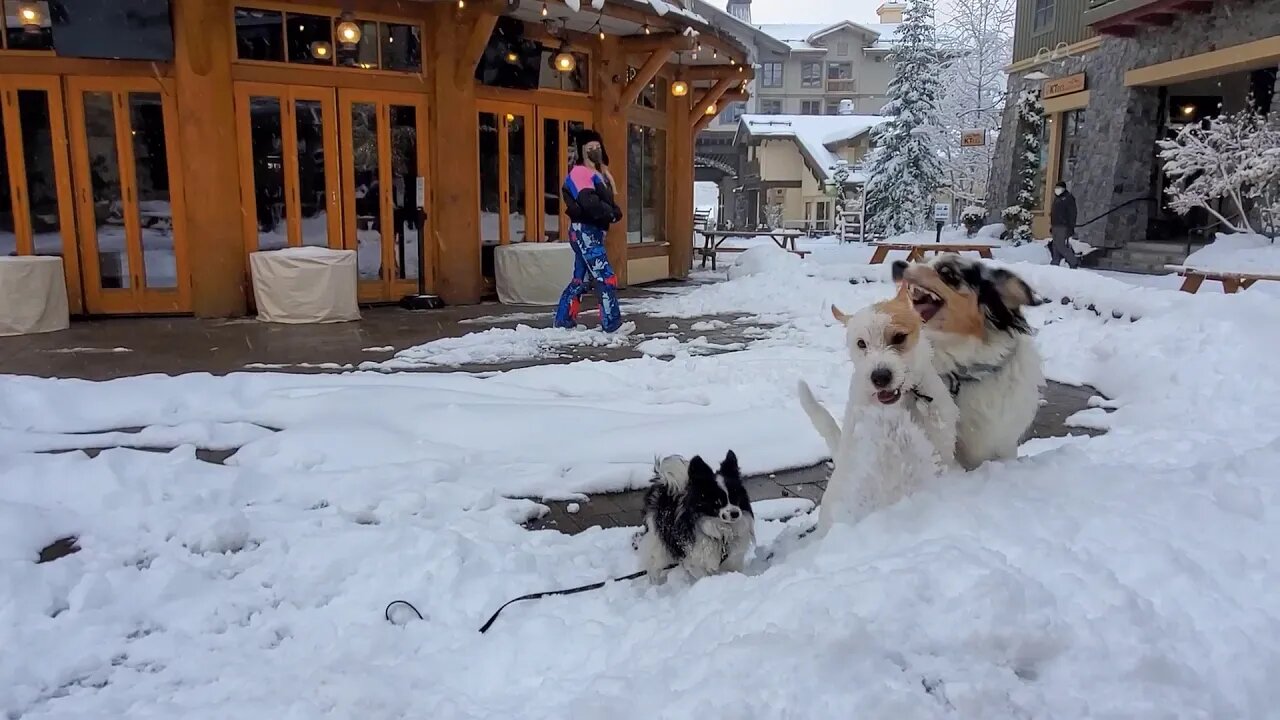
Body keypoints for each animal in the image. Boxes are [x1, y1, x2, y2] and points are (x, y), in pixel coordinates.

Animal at [634, 450, 752, 579]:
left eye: (735, 497)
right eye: (717, 501)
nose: (735, 513)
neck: (722, 533)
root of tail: (664, 485)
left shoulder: (733, 560)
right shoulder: (697, 561)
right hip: (657, 544)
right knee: (653, 566)